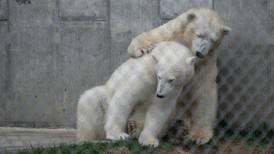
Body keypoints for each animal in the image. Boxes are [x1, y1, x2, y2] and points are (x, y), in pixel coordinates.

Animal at [127, 7, 230, 144]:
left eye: (213, 39)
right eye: (199, 34)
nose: (200, 52)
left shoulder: (206, 64)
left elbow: (203, 94)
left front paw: (200, 136)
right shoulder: (171, 35)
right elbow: (150, 36)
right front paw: (145, 48)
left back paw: (180, 129)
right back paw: (134, 126)